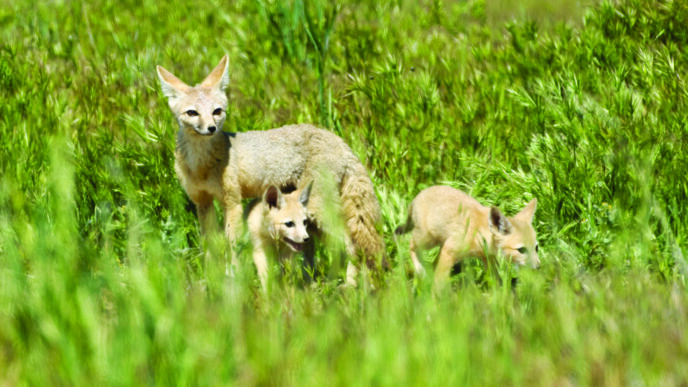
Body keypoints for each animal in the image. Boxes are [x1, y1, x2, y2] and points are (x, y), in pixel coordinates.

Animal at [155, 54, 388, 280]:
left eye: (217, 111)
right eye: (192, 113)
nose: (211, 128)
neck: (201, 166)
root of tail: (339, 140)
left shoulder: (232, 203)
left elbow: (232, 245)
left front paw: (232, 278)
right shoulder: (202, 202)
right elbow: (209, 244)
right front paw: (210, 277)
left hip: (318, 213)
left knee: (351, 245)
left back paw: (349, 286)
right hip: (310, 219)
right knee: (319, 246)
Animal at [398, 186, 536, 292]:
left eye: (536, 247)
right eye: (522, 250)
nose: (538, 266)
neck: (479, 231)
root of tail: (417, 197)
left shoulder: (487, 258)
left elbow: (497, 280)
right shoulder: (449, 252)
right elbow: (438, 284)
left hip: (439, 245)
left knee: (432, 264)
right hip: (428, 240)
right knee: (410, 245)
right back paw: (420, 270)